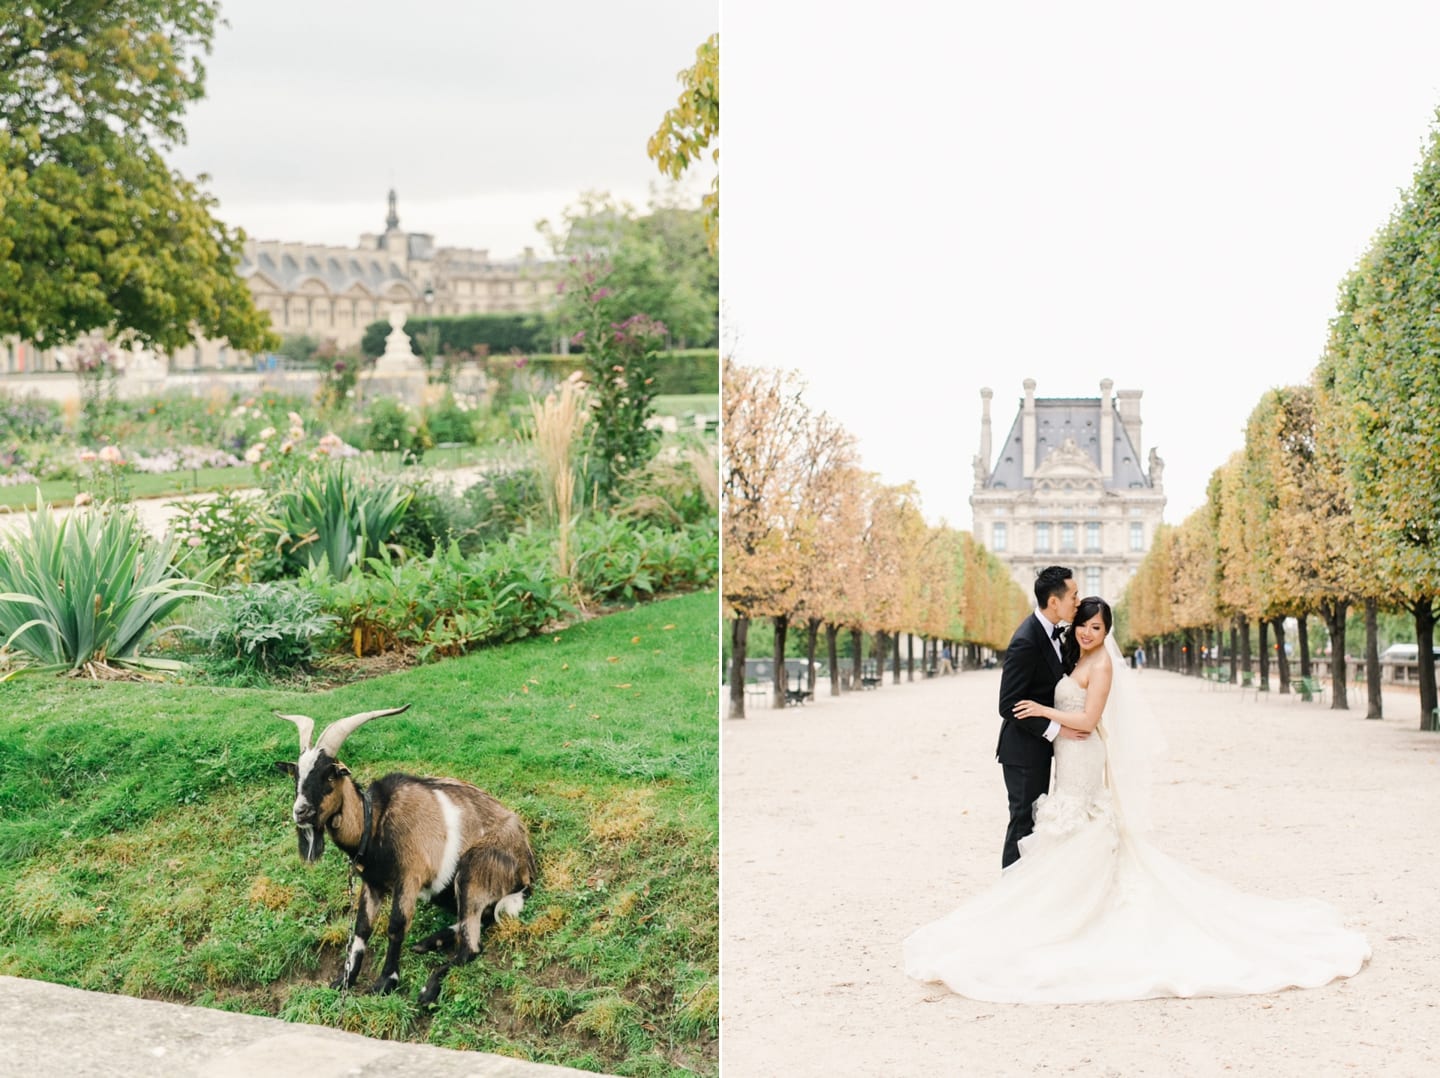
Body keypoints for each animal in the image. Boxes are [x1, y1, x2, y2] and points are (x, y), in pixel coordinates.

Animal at [273, 705, 535, 1001]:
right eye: (296, 776)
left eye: (329, 775)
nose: (301, 812)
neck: (375, 820)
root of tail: (526, 860)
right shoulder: (372, 883)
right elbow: (362, 927)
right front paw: (346, 978)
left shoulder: (409, 877)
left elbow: (396, 926)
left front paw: (386, 981)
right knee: (483, 917)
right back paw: (430, 941)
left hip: (473, 870)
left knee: (471, 948)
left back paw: (428, 988)